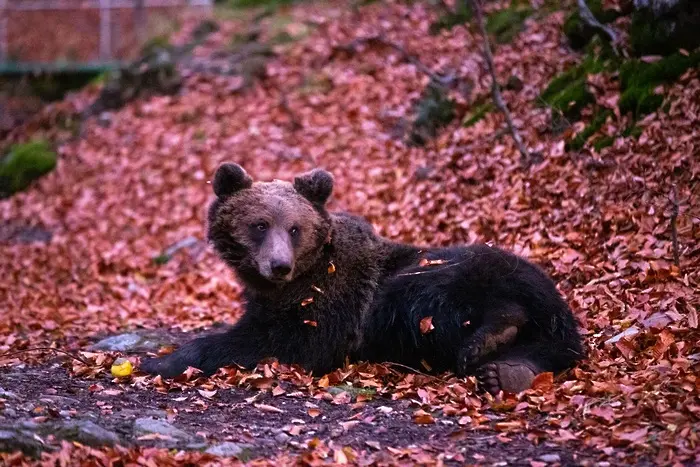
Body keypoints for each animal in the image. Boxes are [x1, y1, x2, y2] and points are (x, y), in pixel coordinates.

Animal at [138, 165, 584, 394]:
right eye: (260, 224)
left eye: (295, 228)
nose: (279, 265)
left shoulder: (330, 303)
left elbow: (283, 342)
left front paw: (160, 359)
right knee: (551, 348)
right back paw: (505, 370)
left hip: (445, 275)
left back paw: (491, 337)